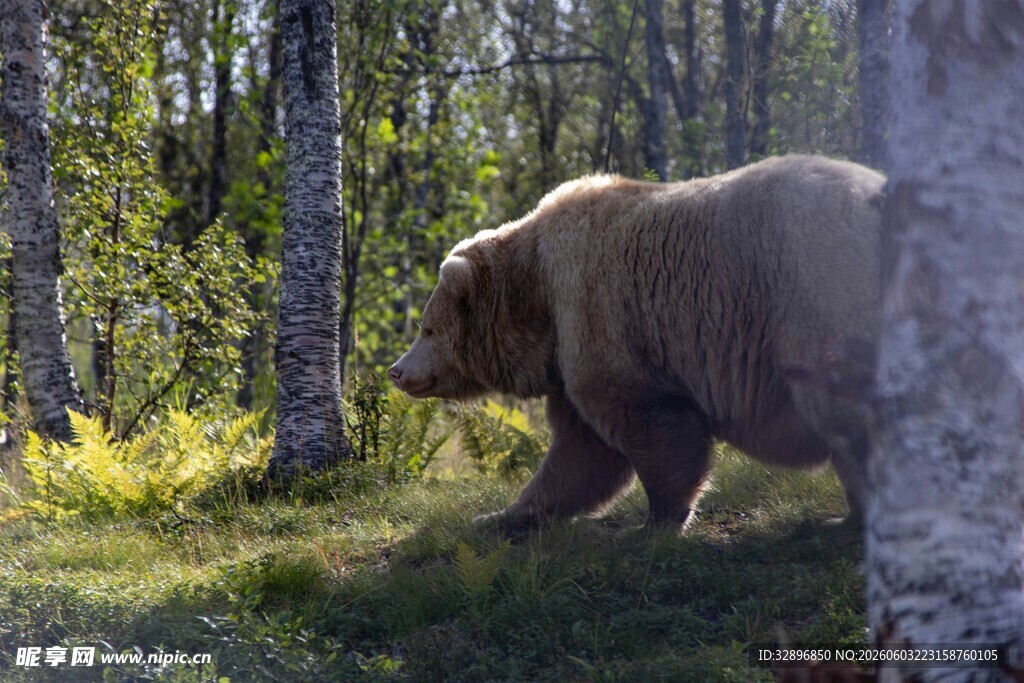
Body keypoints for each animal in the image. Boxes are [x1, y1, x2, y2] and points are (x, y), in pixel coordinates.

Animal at [388, 155, 885, 533]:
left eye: (426, 328)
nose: (397, 370)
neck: (539, 294)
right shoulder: (566, 361)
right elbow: (579, 453)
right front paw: (498, 515)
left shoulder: (599, 312)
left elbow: (649, 423)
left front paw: (655, 522)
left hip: (816, 296)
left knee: (843, 412)